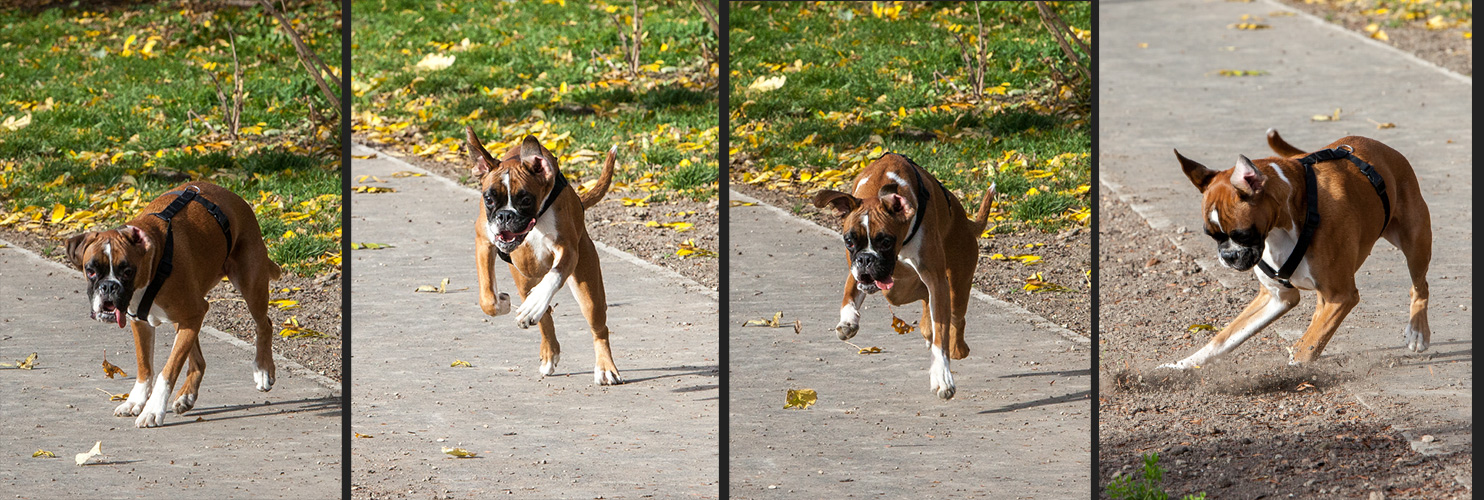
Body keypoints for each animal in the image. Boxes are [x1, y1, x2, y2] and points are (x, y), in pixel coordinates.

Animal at [65, 181, 283, 427]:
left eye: (128, 271)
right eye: (91, 271)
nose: (109, 287)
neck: (154, 259)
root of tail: (233, 195)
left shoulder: (194, 313)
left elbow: (167, 371)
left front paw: (153, 410)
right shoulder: (142, 323)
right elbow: (145, 367)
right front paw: (135, 401)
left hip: (249, 285)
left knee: (264, 324)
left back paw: (263, 370)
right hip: (186, 318)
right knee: (198, 360)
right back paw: (187, 396)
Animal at [465, 127, 623, 382]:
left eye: (525, 199)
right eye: (488, 199)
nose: (505, 216)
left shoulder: (568, 250)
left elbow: (554, 277)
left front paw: (535, 303)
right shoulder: (484, 241)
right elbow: (487, 297)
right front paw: (503, 302)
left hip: (588, 288)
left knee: (598, 328)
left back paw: (605, 368)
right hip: (523, 280)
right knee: (545, 316)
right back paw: (549, 352)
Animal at [813, 153, 997, 400]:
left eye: (885, 241)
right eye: (849, 241)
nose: (866, 259)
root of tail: (965, 222)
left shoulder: (936, 280)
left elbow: (941, 335)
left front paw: (942, 376)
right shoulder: (855, 269)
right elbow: (849, 294)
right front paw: (848, 321)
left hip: (957, 282)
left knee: (955, 318)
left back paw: (958, 348)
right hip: (899, 290)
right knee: (925, 305)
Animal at [1163, 128, 1430, 367]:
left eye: (1243, 234)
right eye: (1212, 236)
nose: (1228, 256)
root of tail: (1382, 147)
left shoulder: (1341, 296)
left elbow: (1307, 347)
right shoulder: (1277, 297)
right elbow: (1224, 337)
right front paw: (1185, 365)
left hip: (1416, 244)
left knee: (1420, 287)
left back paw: (1417, 332)